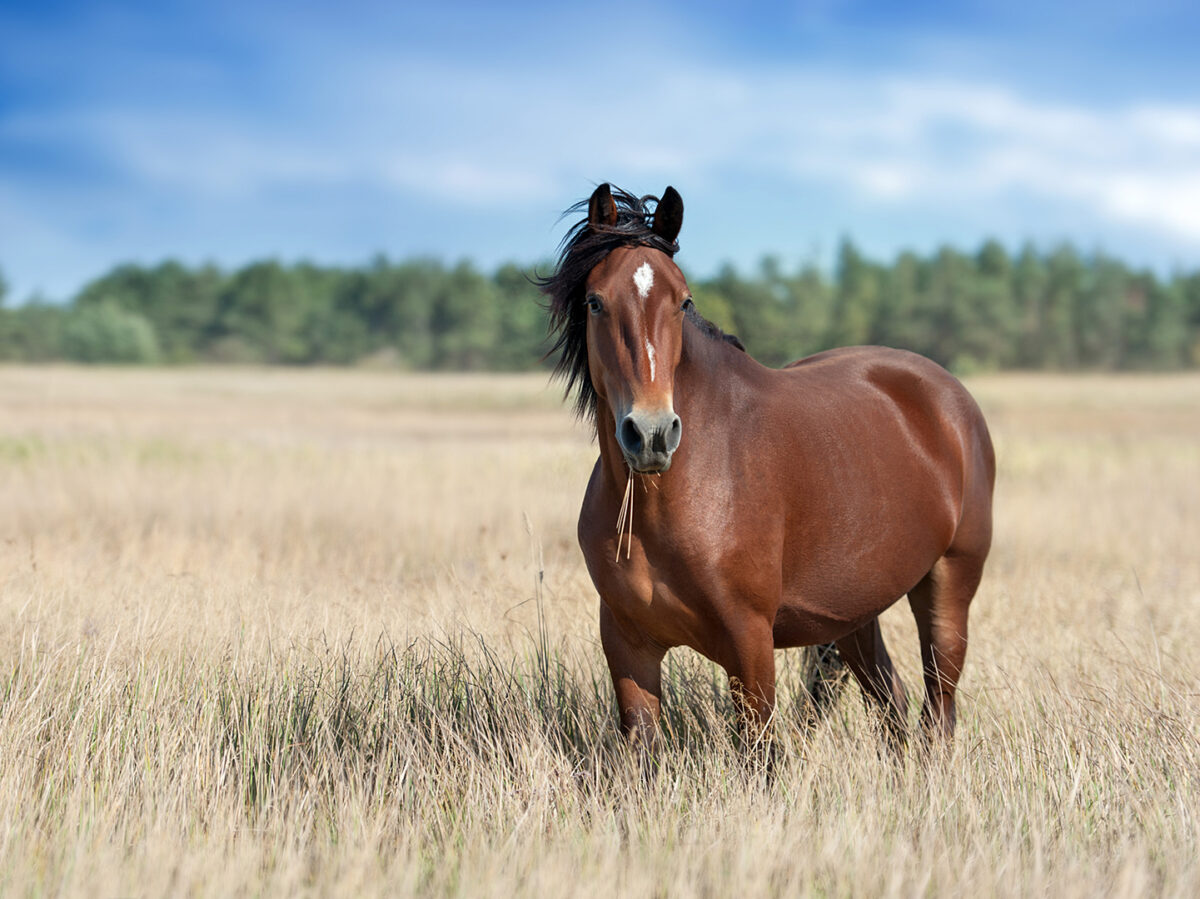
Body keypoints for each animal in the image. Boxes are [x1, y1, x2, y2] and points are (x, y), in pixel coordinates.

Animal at [542, 183, 993, 758]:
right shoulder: (628, 644)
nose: (652, 434)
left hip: (949, 587)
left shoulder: (750, 642)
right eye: (596, 301)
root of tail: (950, 397)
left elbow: (760, 758)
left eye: (683, 301)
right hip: (855, 615)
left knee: (938, 709)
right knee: (891, 704)